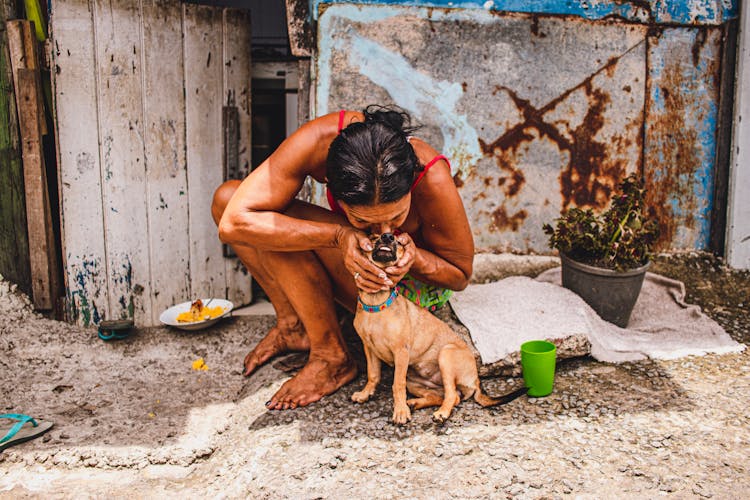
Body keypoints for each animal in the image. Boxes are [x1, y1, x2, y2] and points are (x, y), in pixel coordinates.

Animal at [352, 232, 528, 424]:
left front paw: (400, 412)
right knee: (443, 396)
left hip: (446, 356)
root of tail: (476, 381)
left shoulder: (401, 352)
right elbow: (373, 375)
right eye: (372, 237)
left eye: (399, 242)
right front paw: (365, 394)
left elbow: (397, 385)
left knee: (452, 396)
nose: (387, 236)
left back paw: (441, 413)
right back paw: (415, 403)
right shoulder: (369, 348)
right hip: (415, 382)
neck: (376, 304)